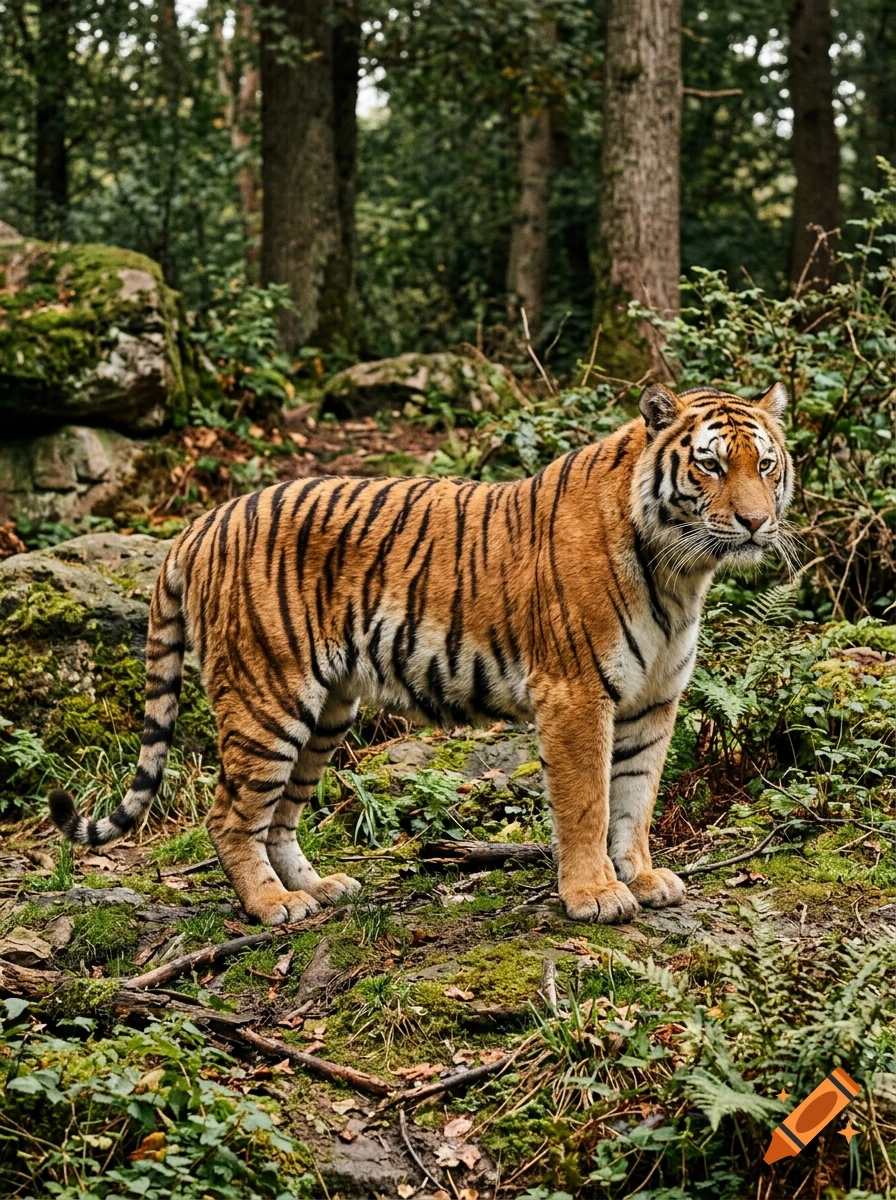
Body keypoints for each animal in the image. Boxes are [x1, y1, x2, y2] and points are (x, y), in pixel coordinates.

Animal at [49, 380, 793, 926]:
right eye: (710, 463)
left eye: (766, 463)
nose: (757, 522)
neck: (680, 571)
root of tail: (201, 522)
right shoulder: (577, 693)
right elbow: (589, 803)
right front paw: (595, 893)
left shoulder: (653, 699)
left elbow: (635, 798)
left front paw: (641, 878)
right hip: (269, 698)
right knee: (230, 814)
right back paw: (273, 906)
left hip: (328, 711)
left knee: (281, 815)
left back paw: (320, 888)